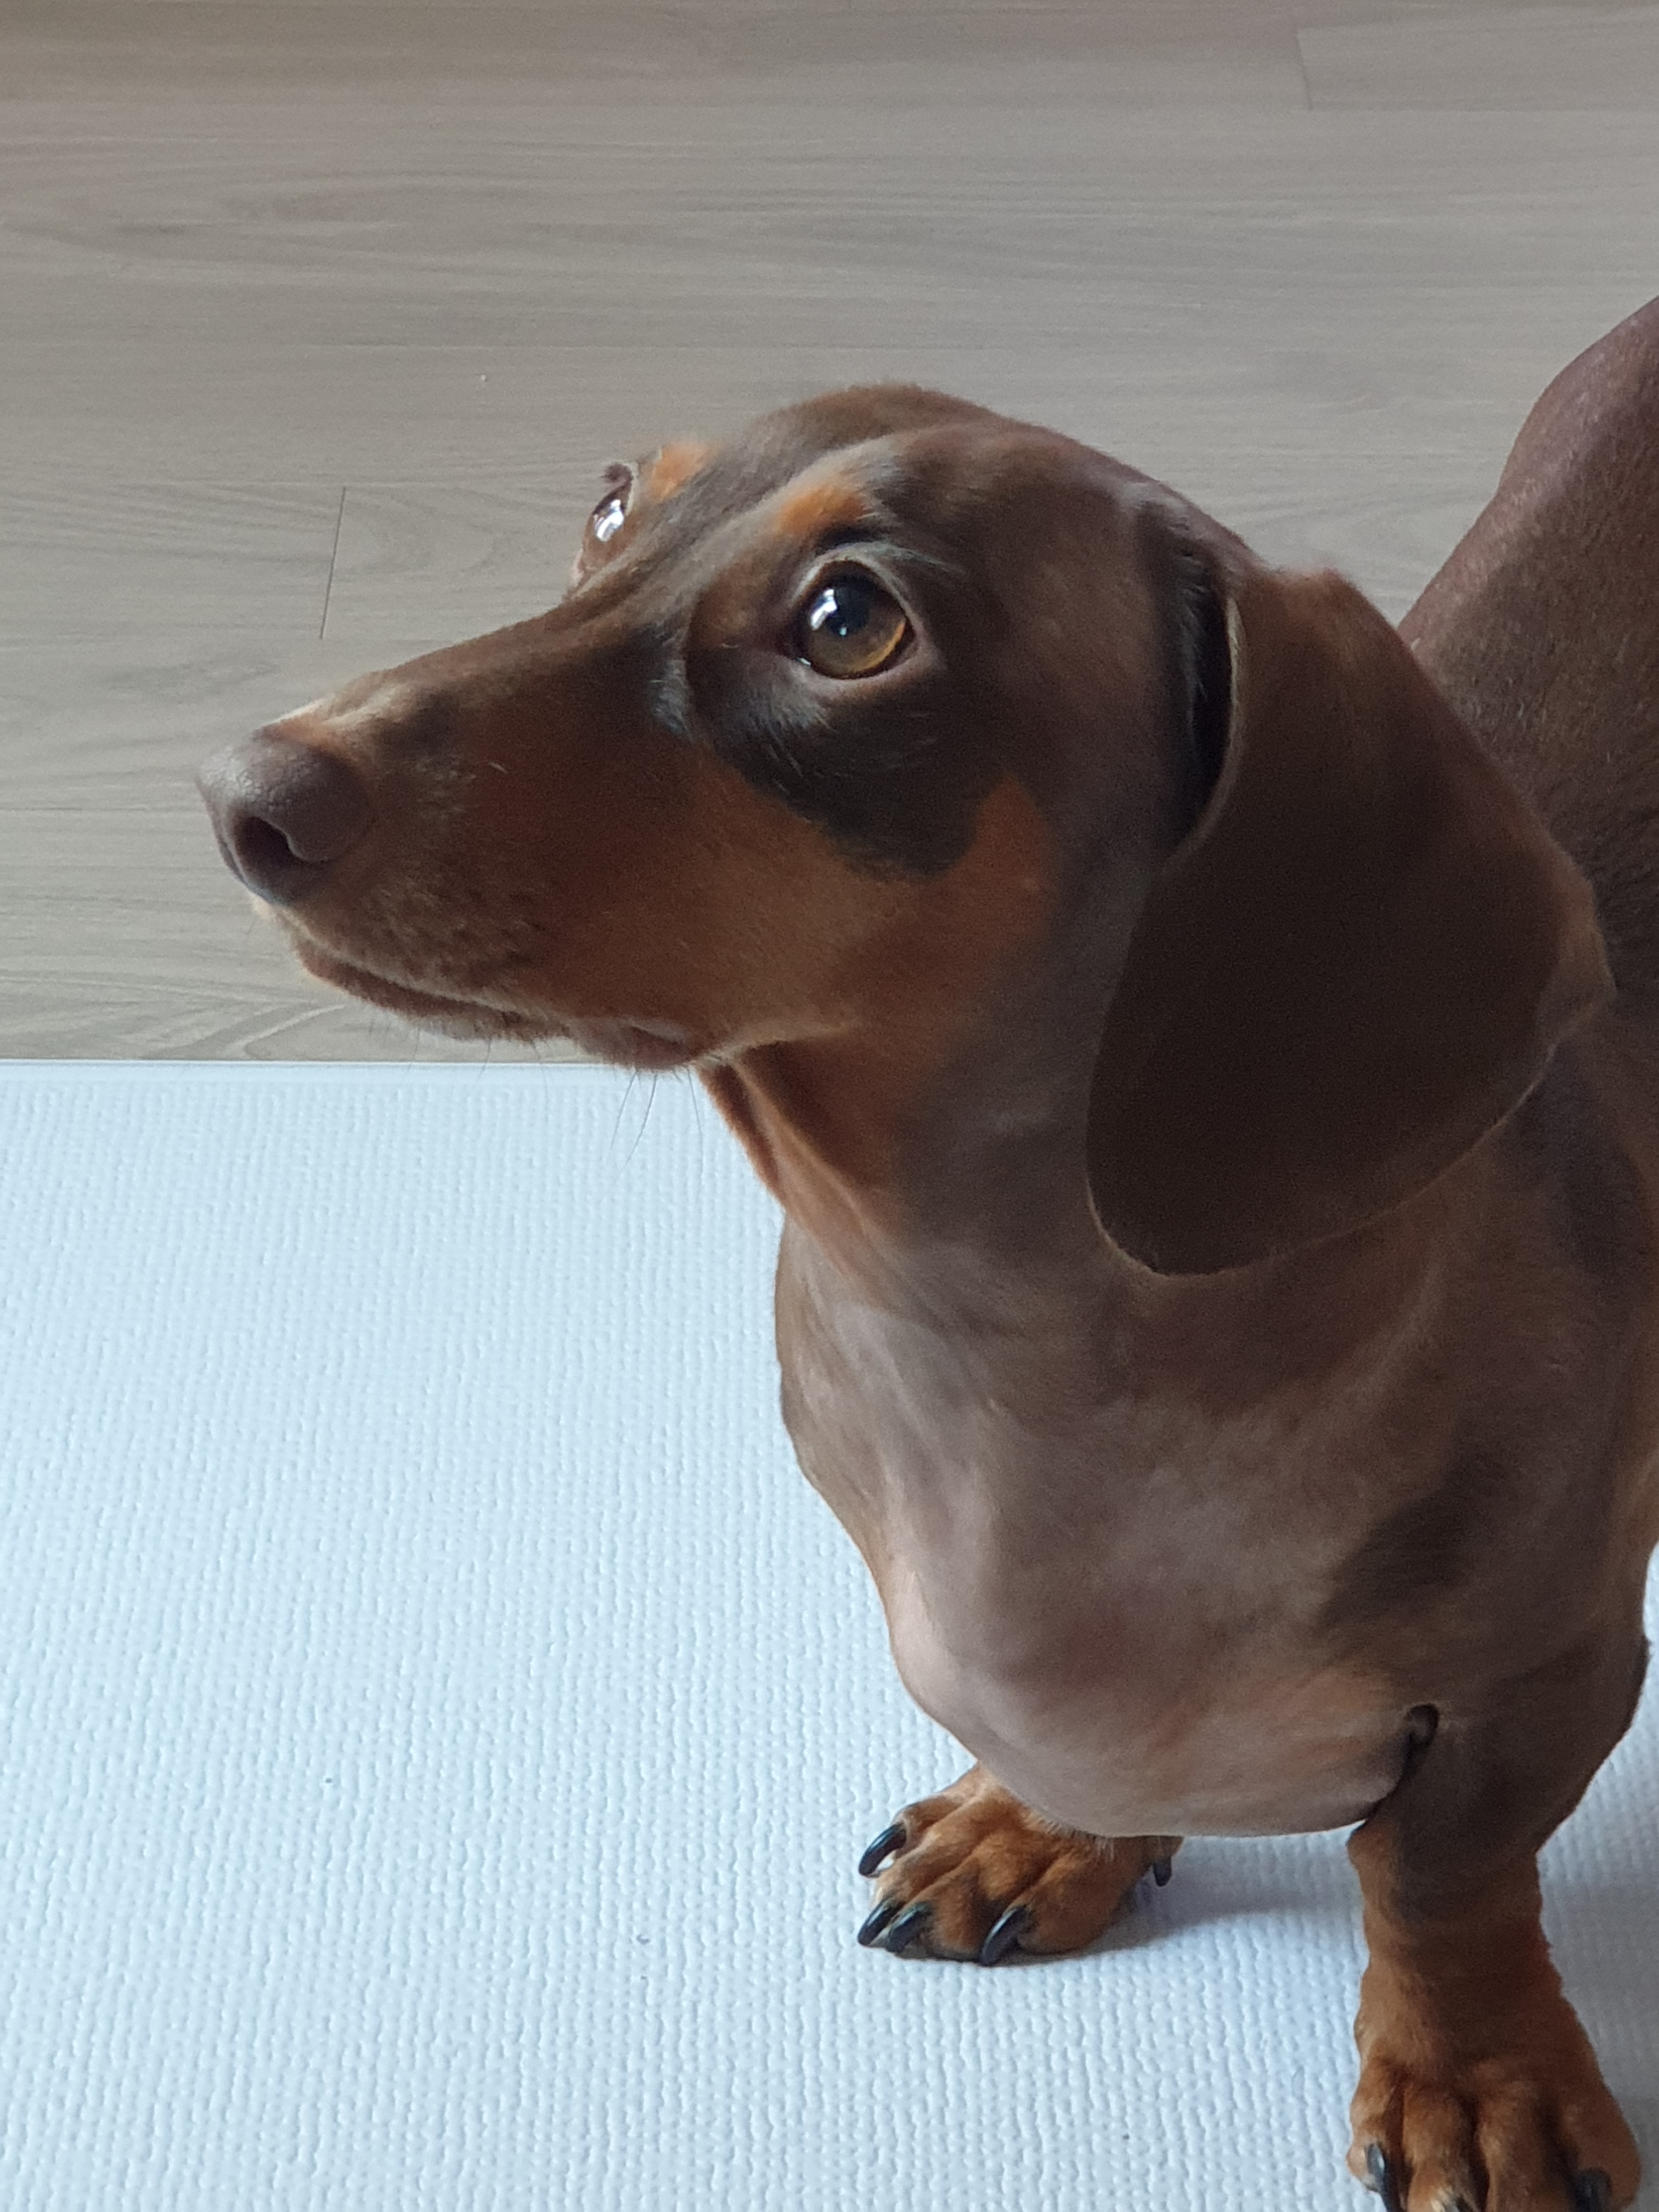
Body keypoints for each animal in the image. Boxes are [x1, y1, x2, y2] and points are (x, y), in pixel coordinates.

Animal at [198, 296, 1659, 2212]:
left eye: (849, 624)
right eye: (614, 504)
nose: (239, 795)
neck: (1004, 1351)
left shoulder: (1549, 1686)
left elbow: (1436, 1879)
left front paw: (1477, 2075)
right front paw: (1042, 1828)